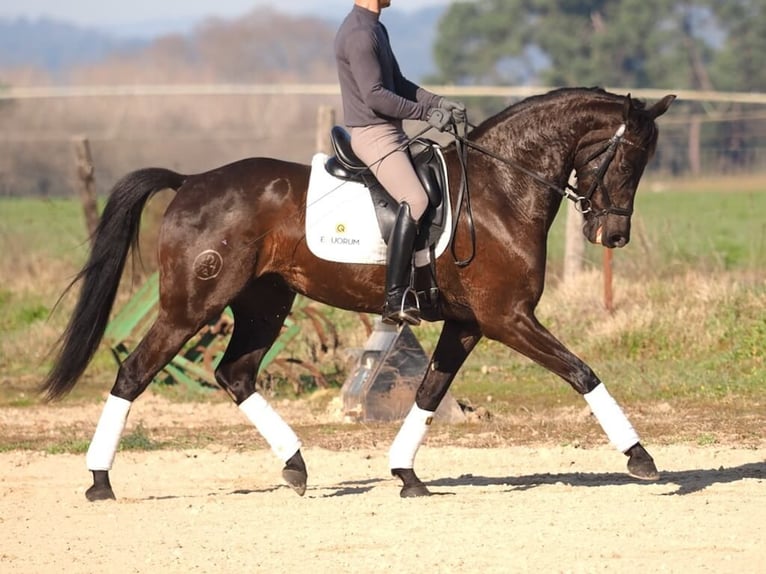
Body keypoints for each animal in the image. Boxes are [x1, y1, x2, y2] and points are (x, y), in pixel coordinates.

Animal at [41, 87, 675, 500]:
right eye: (628, 159)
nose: (613, 236)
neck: (500, 189)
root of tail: (191, 181)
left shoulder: (468, 324)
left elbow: (428, 392)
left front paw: (406, 475)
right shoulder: (507, 318)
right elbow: (582, 372)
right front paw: (641, 458)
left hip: (265, 303)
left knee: (235, 374)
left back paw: (296, 466)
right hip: (192, 306)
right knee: (134, 374)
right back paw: (100, 481)